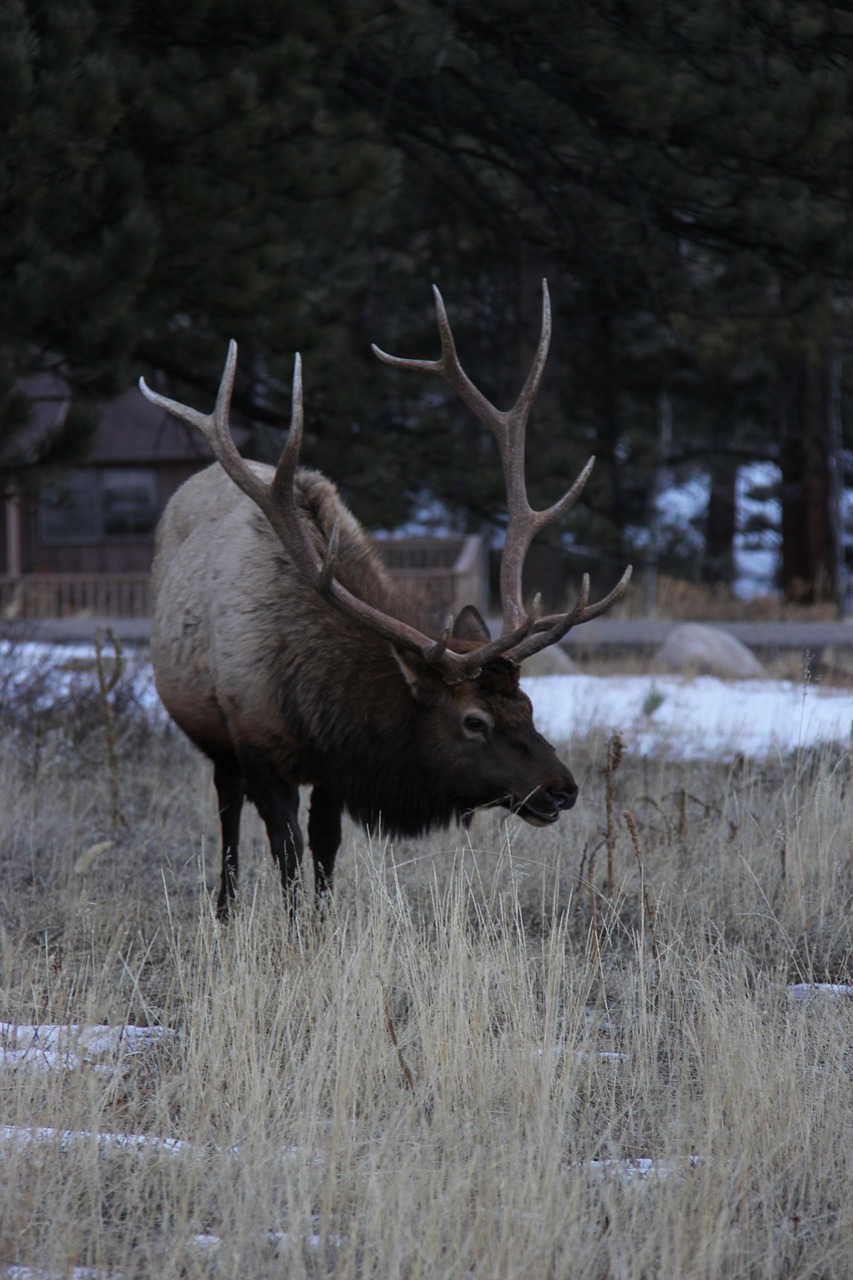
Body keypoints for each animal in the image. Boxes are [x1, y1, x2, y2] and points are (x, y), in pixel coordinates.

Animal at [139, 284, 627, 916]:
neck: (318, 700)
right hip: (212, 732)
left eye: (528, 705)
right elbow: (287, 852)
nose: (561, 789)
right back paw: (224, 909)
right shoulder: (256, 742)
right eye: (473, 721)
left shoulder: (333, 770)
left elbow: (326, 848)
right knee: (226, 809)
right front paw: (292, 929)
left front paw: (322, 924)